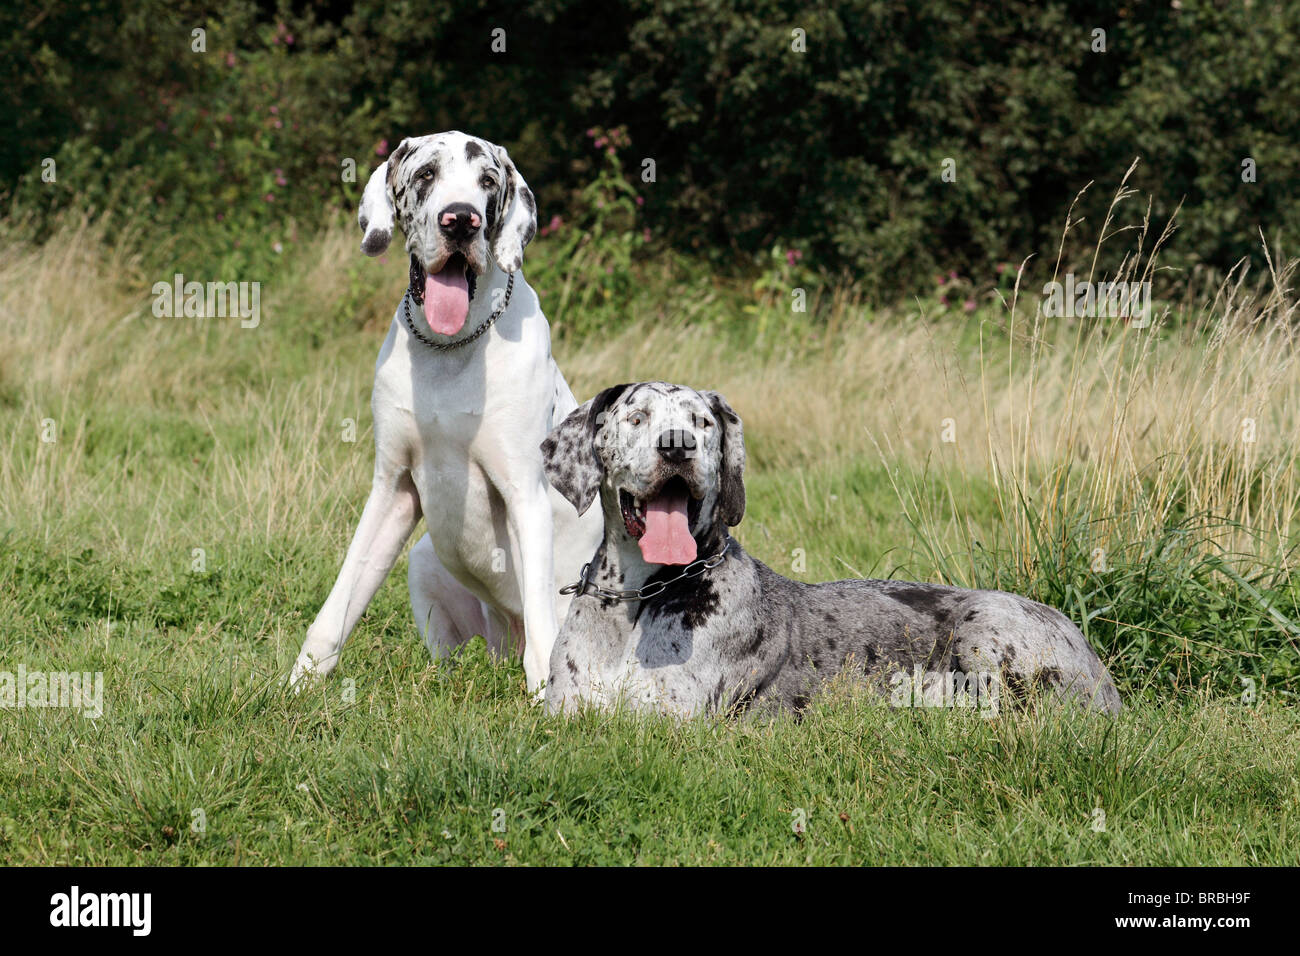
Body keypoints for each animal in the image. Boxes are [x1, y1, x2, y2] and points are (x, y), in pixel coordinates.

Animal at [540, 382, 1128, 717]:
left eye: (701, 422)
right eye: (636, 417)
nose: (677, 445)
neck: (639, 599)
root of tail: (1102, 678)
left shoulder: (666, 719)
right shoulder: (565, 717)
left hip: (986, 625)